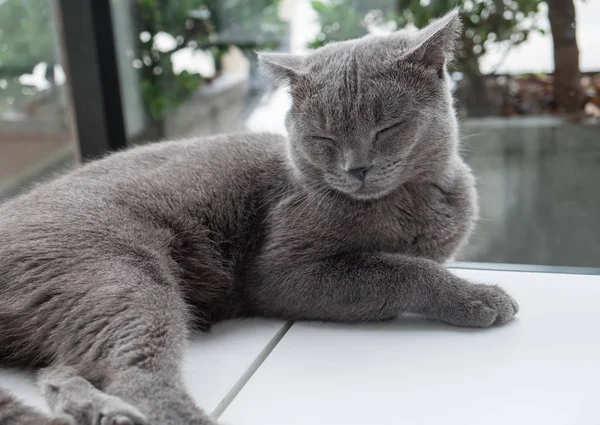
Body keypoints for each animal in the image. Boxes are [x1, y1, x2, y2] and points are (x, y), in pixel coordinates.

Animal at [0, 9, 516, 424]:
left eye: (388, 128)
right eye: (324, 138)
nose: (358, 168)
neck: (411, 202)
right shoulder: (281, 271)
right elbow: (404, 269)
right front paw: (479, 296)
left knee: (60, 370)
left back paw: (97, 410)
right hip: (115, 275)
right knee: (133, 374)